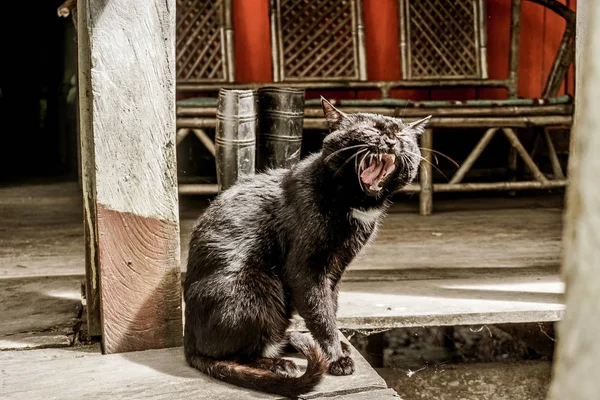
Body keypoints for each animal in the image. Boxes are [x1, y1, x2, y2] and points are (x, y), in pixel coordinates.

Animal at [184, 97, 432, 396]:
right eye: (371, 129)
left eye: (401, 134)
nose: (390, 140)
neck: (353, 202)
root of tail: (189, 344)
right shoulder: (306, 270)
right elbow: (320, 313)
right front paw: (336, 359)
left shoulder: (336, 269)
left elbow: (331, 307)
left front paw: (337, 347)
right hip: (257, 288)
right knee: (235, 354)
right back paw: (279, 364)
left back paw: (295, 341)